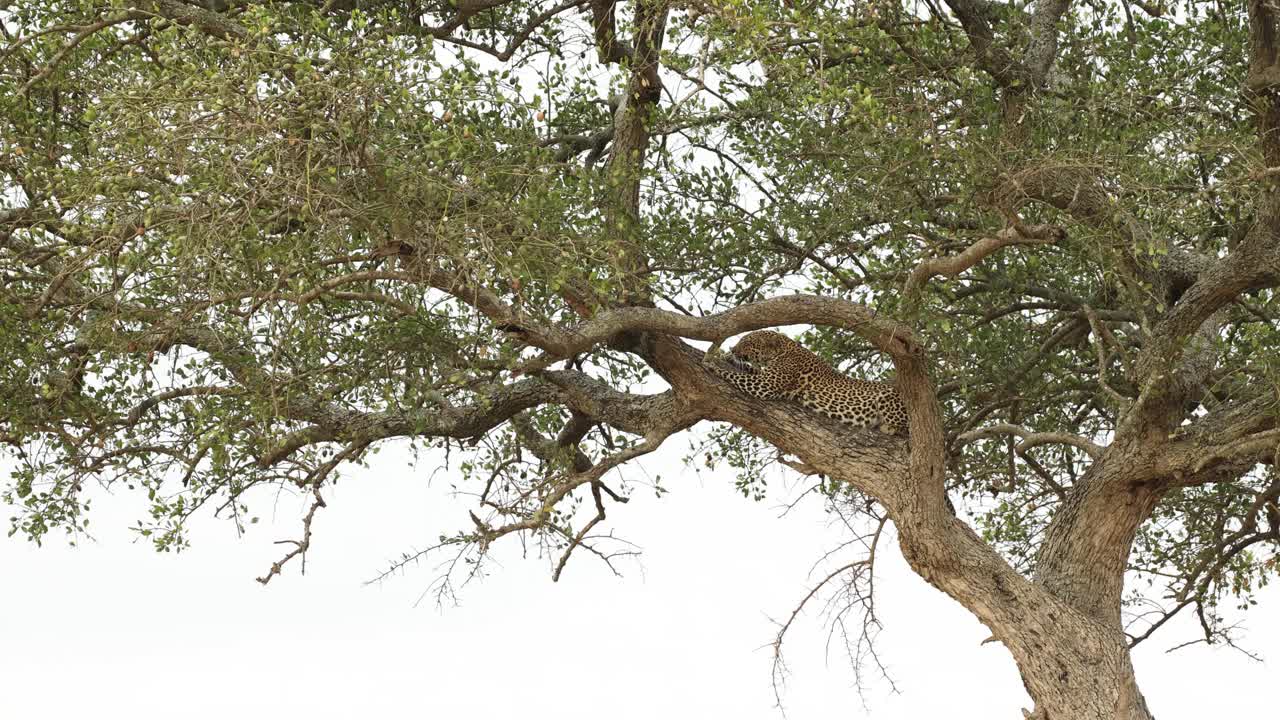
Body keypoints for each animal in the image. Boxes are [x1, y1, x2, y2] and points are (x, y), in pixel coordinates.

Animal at [708, 330, 909, 436]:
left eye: (747, 342)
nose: (733, 348)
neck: (781, 351)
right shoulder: (764, 376)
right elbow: (748, 370)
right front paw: (725, 357)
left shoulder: (765, 386)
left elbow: (734, 375)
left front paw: (711, 365)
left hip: (888, 396)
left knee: (906, 430)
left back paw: (887, 427)